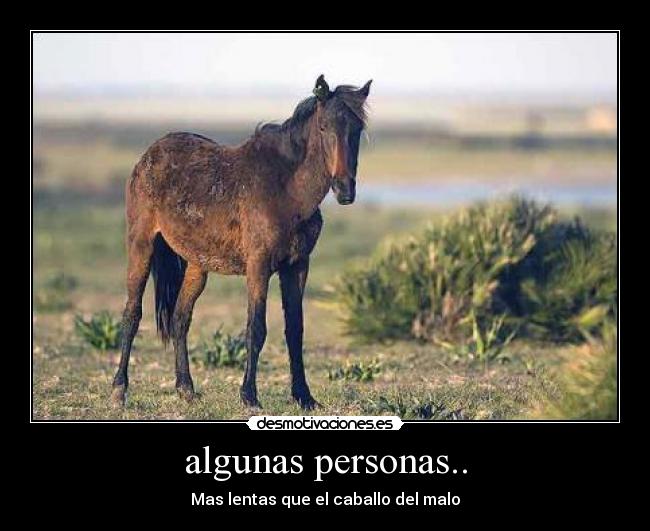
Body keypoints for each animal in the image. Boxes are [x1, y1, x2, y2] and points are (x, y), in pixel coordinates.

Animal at [110, 75, 372, 410]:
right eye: (324, 126)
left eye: (357, 129)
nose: (344, 190)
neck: (286, 190)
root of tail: (148, 155)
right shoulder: (258, 266)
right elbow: (255, 328)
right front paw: (249, 396)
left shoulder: (297, 266)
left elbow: (295, 330)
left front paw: (304, 396)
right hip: (141, 245)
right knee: (132, 313)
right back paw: (119, 389)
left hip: (197, 264)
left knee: (180, 318)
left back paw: (186, 389)